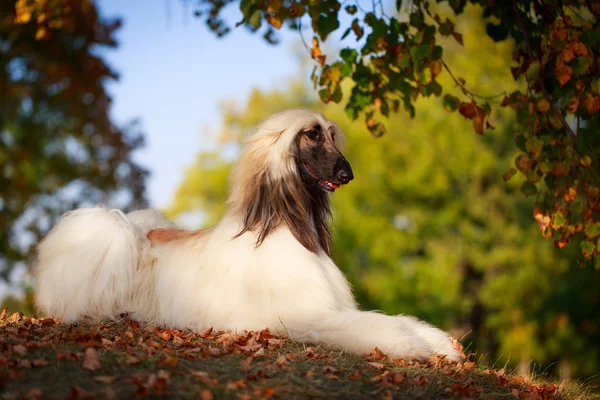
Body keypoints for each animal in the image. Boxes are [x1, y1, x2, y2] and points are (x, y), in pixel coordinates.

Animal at [35, 109, 462, 362]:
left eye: (331, 135)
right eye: (311, 135)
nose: (347, 174)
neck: (284, 227)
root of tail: (136, 230)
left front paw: (440, 343)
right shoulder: (300, 315)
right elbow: (367, 326)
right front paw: (410, 344)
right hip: (105, 248)